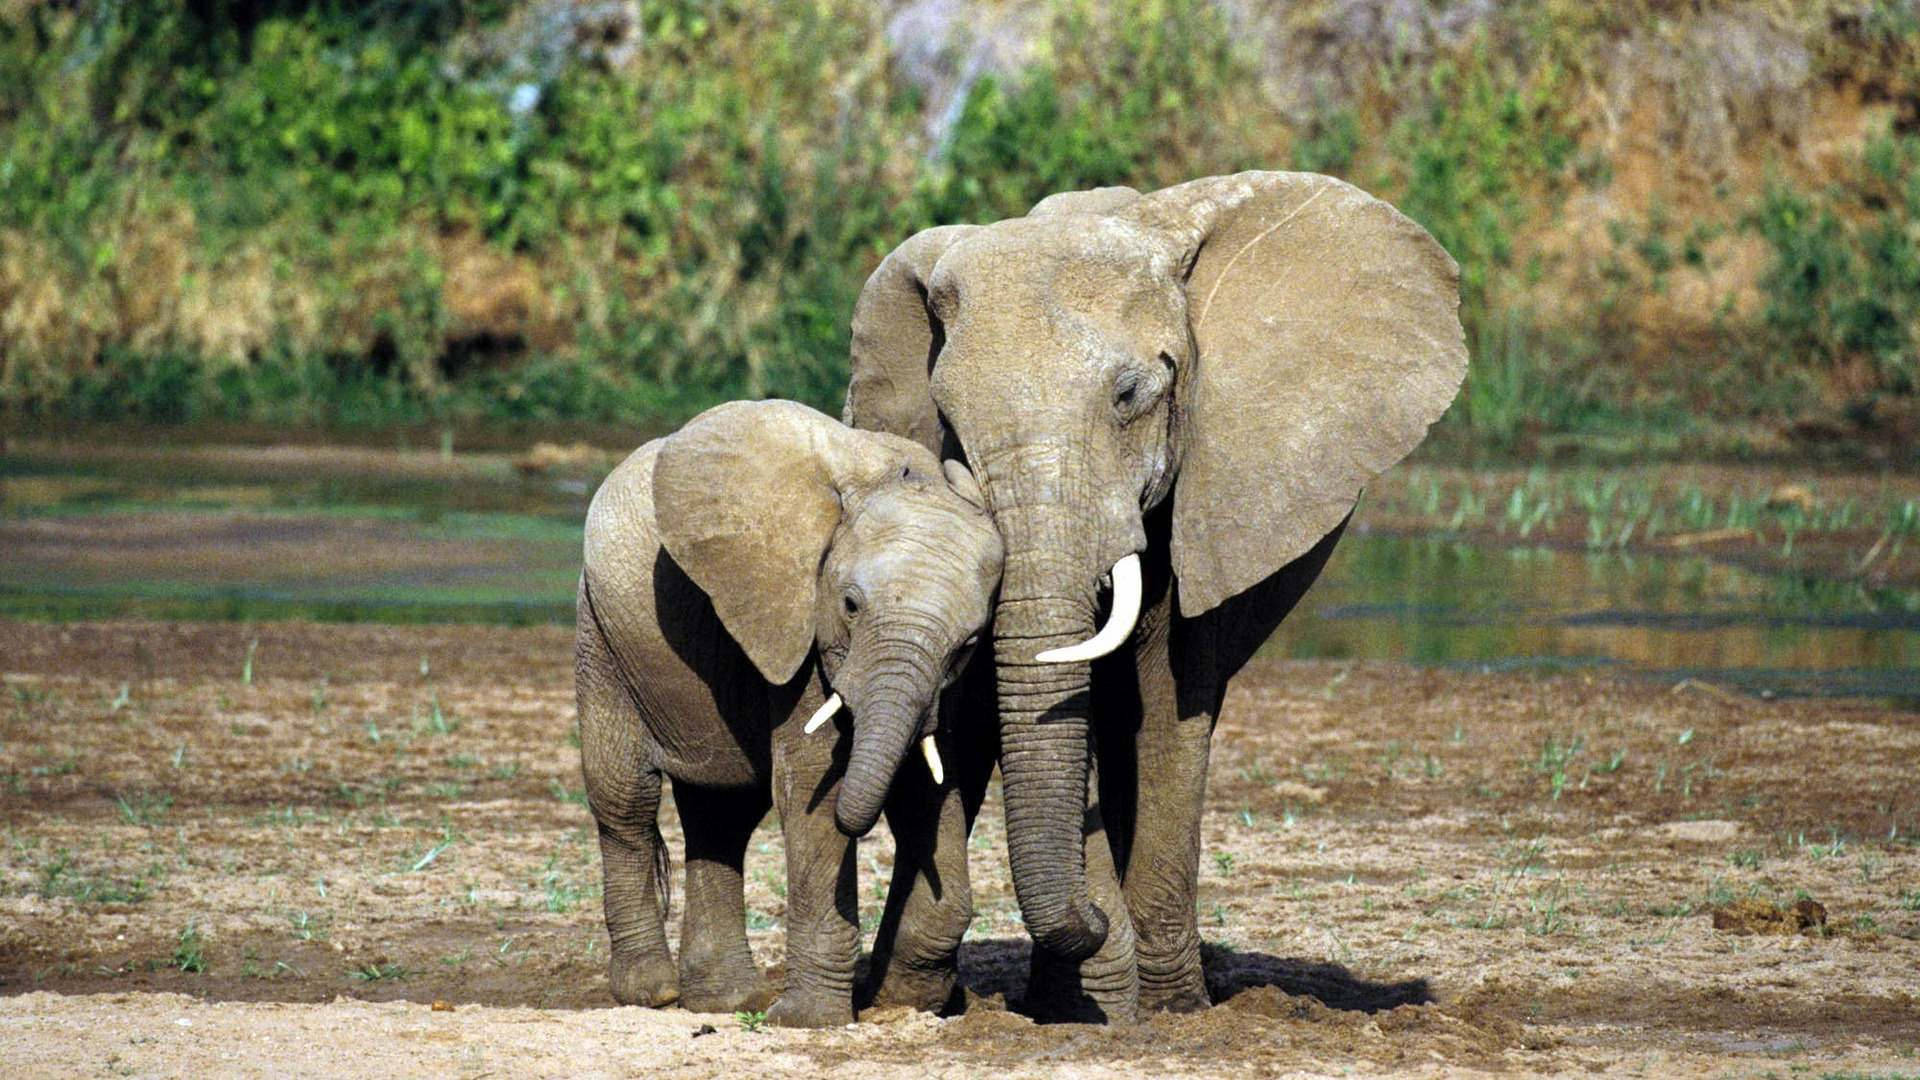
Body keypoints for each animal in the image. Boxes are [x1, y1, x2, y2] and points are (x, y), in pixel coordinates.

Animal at [575, 399, 1004, 1027]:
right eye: (849, 605)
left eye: (971, 642)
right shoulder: (797, 626)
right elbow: (812, 788)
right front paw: (808, 1020)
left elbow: (927, 785)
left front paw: (906, 1002)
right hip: (602, 637)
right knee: (625, 801)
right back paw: (655, 993)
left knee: (721, 816)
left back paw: (726, 1001)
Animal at [842, 171, 1467, 1021]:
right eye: (949, 422)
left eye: (1130, 395)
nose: (1093, 916)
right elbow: (991, 702)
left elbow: (1171, 700)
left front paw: (1165, 1008)